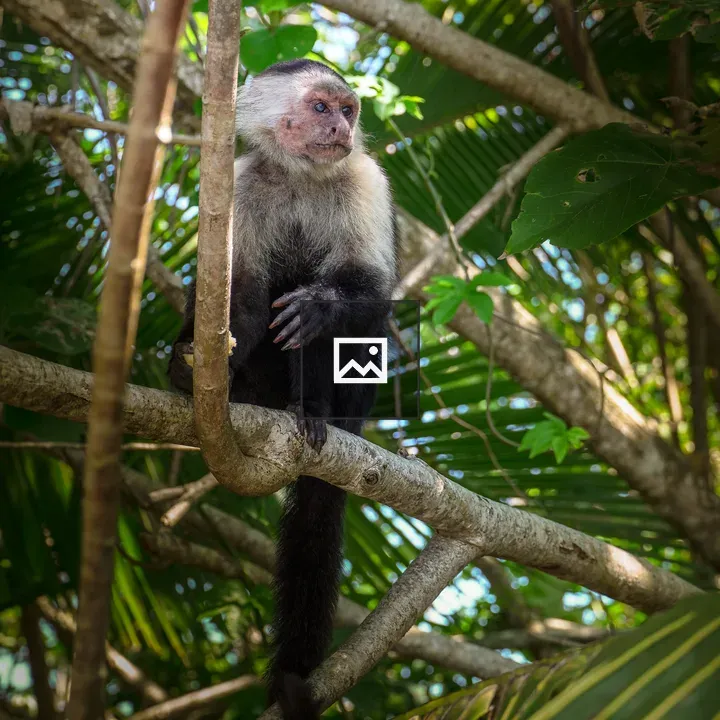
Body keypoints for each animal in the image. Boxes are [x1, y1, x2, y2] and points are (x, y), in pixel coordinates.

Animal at [168, 59, 398, 719]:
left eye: (347, 110)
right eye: (321, 108)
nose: (341, 128)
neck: (300, 176)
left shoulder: (364, 179)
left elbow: (371, 293)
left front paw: (319, 307)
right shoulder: (242, 187)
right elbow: (240, 297)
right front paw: (195, 361)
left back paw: (314, 410)